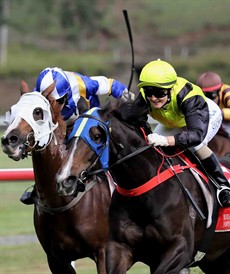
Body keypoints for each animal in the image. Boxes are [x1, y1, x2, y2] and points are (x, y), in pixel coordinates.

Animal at [0, 82, 111, 274]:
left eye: (37, 112)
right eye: (12, 110)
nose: (9, 140)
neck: (60, 201)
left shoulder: (103, 252)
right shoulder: (55, 259)